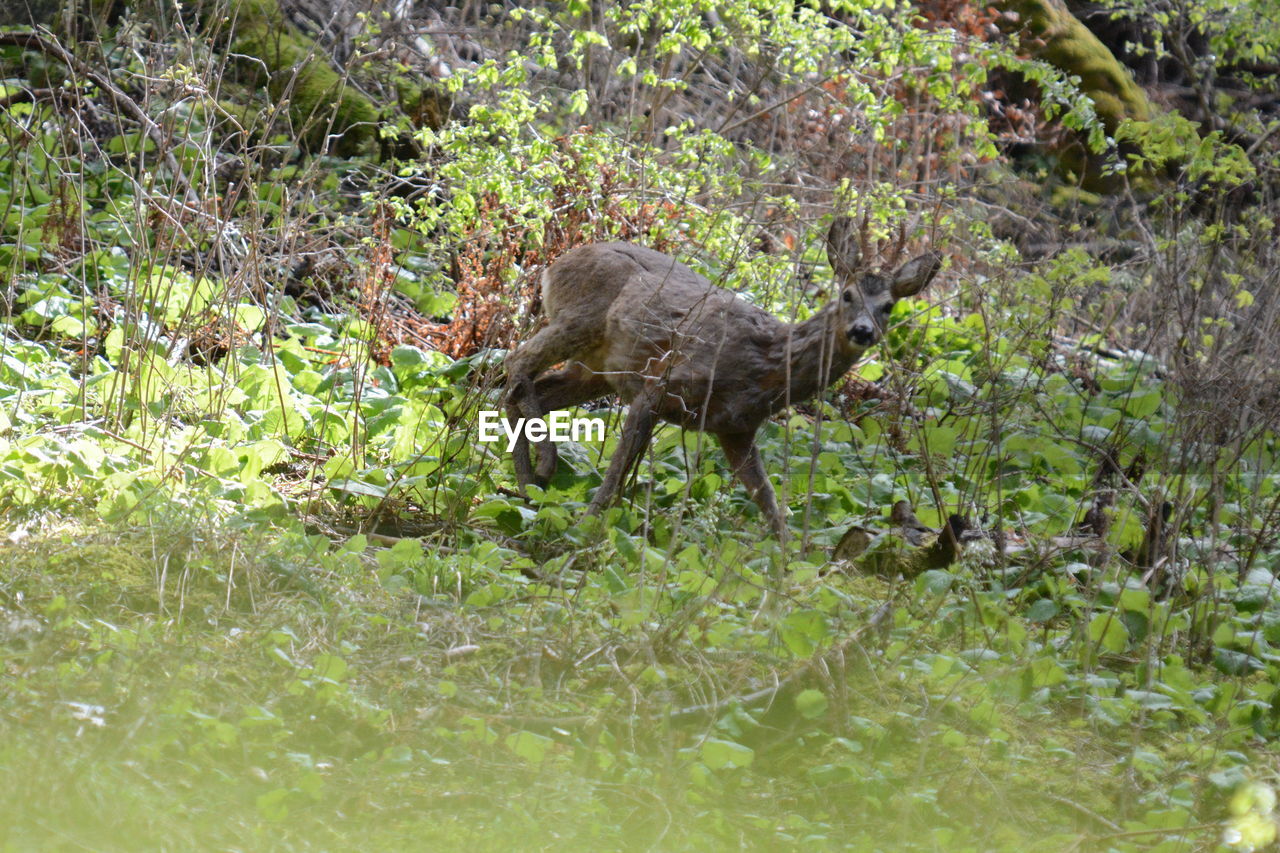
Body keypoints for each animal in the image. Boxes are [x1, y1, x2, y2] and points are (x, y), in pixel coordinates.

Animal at [506, 219, 942, 537]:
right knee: (516, 364)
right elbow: (616, 471)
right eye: (847, 294)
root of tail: (556, 263)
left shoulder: (737, 430)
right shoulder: (660, 387)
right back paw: (542, 467)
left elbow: (769, 501)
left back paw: (528, 486)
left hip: (597, 369)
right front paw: (584, 526)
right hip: (579, 319)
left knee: (533, 387)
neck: (766, 365)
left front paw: (791, 568)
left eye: (888, 306)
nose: (862, 331)